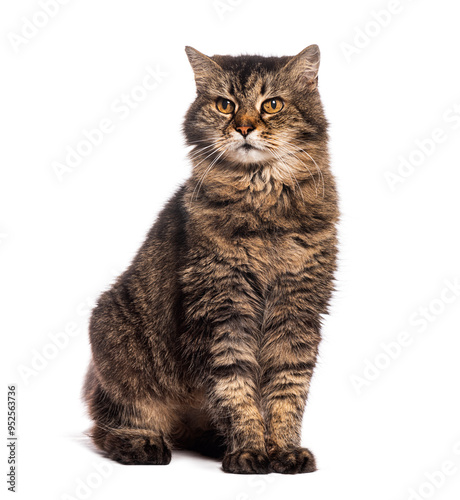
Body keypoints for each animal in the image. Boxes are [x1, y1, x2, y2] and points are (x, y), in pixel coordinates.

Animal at [83, 45, 338, 474]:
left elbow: (287, 392)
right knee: (111, 423)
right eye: (225, 105)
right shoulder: (223, 310)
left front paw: (284, 450)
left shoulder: (297, 309)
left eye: (272, 104)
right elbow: (235, 391)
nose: (244, 127)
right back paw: (144, 443)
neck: (262, 204)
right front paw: (249, 450)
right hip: (115, 338)